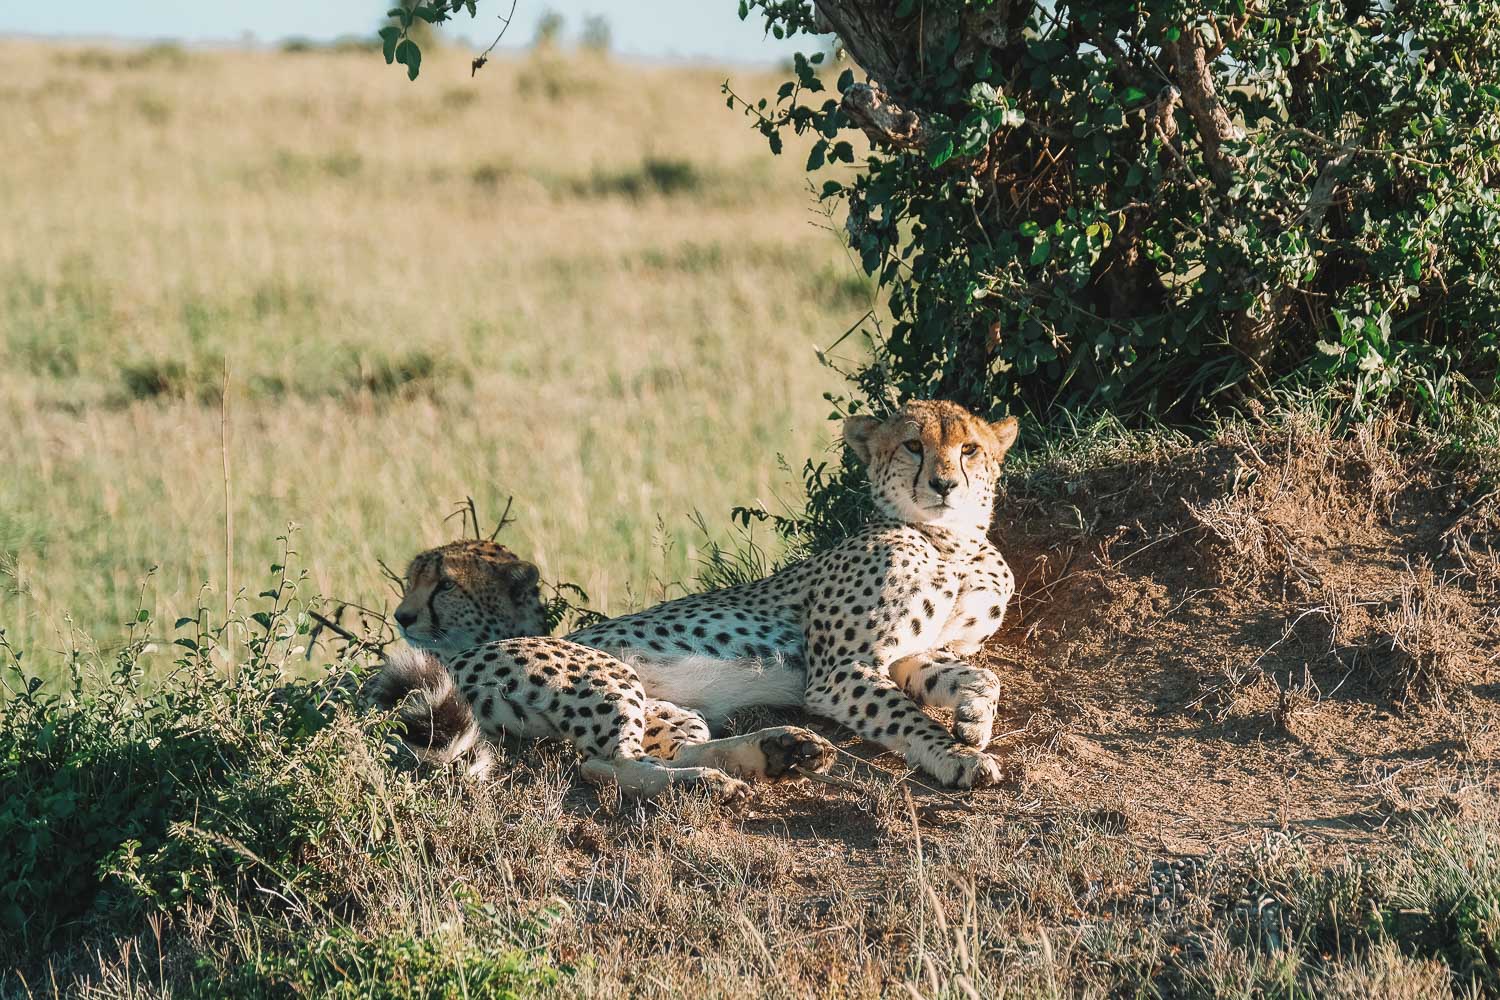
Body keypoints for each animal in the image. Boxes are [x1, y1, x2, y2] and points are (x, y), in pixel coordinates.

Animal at [366, 398, 1020, 797]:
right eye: (913, 446)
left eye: (969, 450)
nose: (944, 483)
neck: (950, 539)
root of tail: (456, 659)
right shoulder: (841, 671)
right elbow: (908, 717)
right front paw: (958, 755)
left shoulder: (912, 654)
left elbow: (978, 676)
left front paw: (973, 720)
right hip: (603, 675)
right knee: (604, 764)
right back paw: (711, 782)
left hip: (667, 708)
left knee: (668, 748)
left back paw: (774, 751)